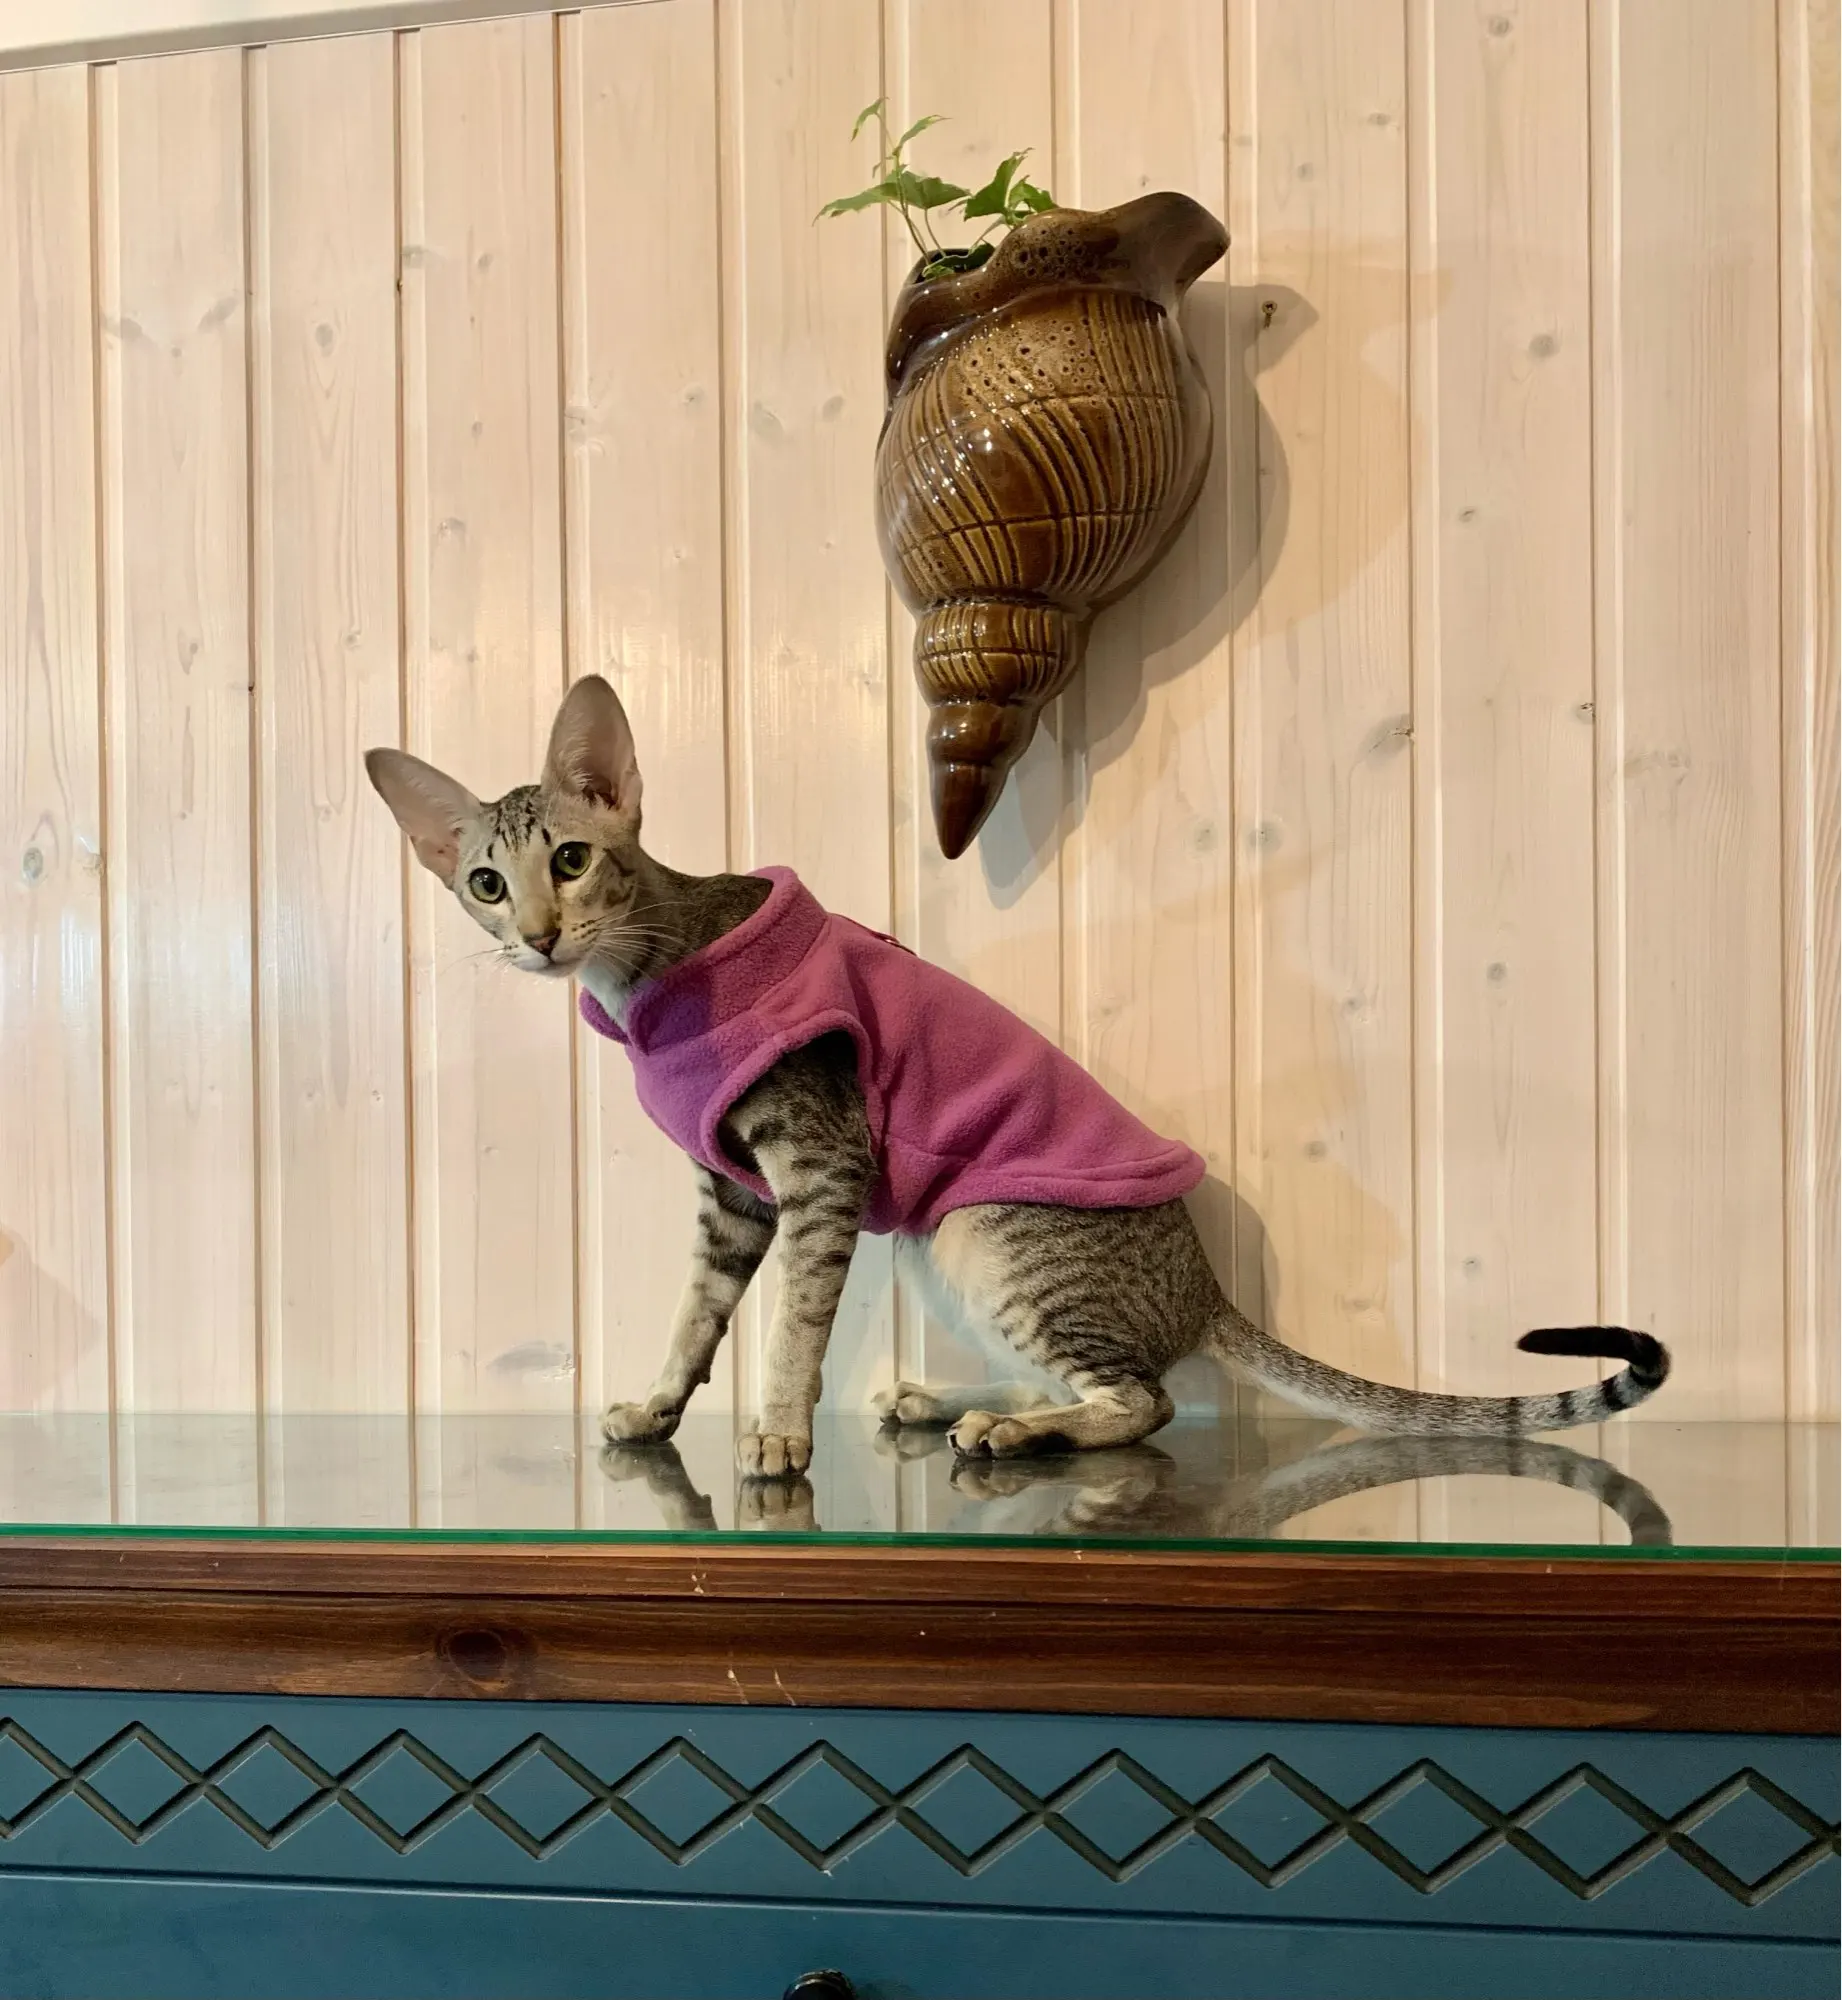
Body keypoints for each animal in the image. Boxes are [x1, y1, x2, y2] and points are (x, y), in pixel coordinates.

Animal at [366, 674, 1669, 1478]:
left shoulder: (819, 1161)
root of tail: (1205, 1285)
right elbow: (697, 1310)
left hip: (985, 1226)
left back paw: (1010, 1429)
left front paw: (778, 1435)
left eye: (572, 859)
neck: (653, 977)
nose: (538, 937)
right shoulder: (733, 1189)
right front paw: (656, 1405)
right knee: (1095, 1380)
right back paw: (956, 1402)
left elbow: (791, 1322)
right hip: (936, 1242)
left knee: (1141, 1400)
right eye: (486, 882)